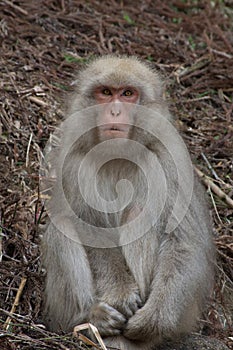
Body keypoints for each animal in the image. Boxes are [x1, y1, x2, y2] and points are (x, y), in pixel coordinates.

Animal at [41, 56, 215, 348]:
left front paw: (153, 320)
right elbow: (87, 226)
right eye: (105, 92)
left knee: (140, 214)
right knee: (62, 226)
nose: (114, 112)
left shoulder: (172, 160)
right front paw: (119, 294)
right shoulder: (73, 161)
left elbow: (183, 241)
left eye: (127, 94)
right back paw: (92, 319)